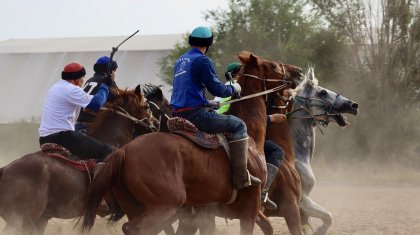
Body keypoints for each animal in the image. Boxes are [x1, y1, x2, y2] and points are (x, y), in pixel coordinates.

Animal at [81, 51, 306, 235]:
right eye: (274, 66)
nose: (299, 71)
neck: (250, 139)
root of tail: (124, 151)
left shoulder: (202, 214)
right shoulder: (250, 210)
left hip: (138, 207)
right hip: (166, 205)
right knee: (134, 228)